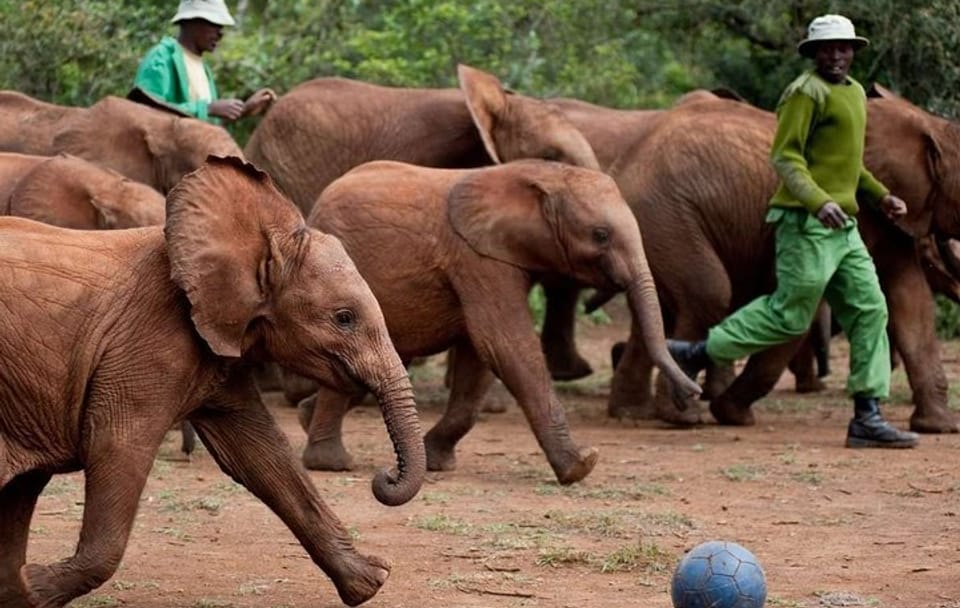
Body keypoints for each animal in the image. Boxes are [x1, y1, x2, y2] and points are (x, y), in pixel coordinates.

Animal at [293, 159, 701, 485]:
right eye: (600, 235)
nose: (692, 394)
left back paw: (305, 419)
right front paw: (581, 466)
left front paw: (438, 462)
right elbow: (504, 344)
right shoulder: (478, 259)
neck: (542, 175)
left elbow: (478, 358)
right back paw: (331, 463)